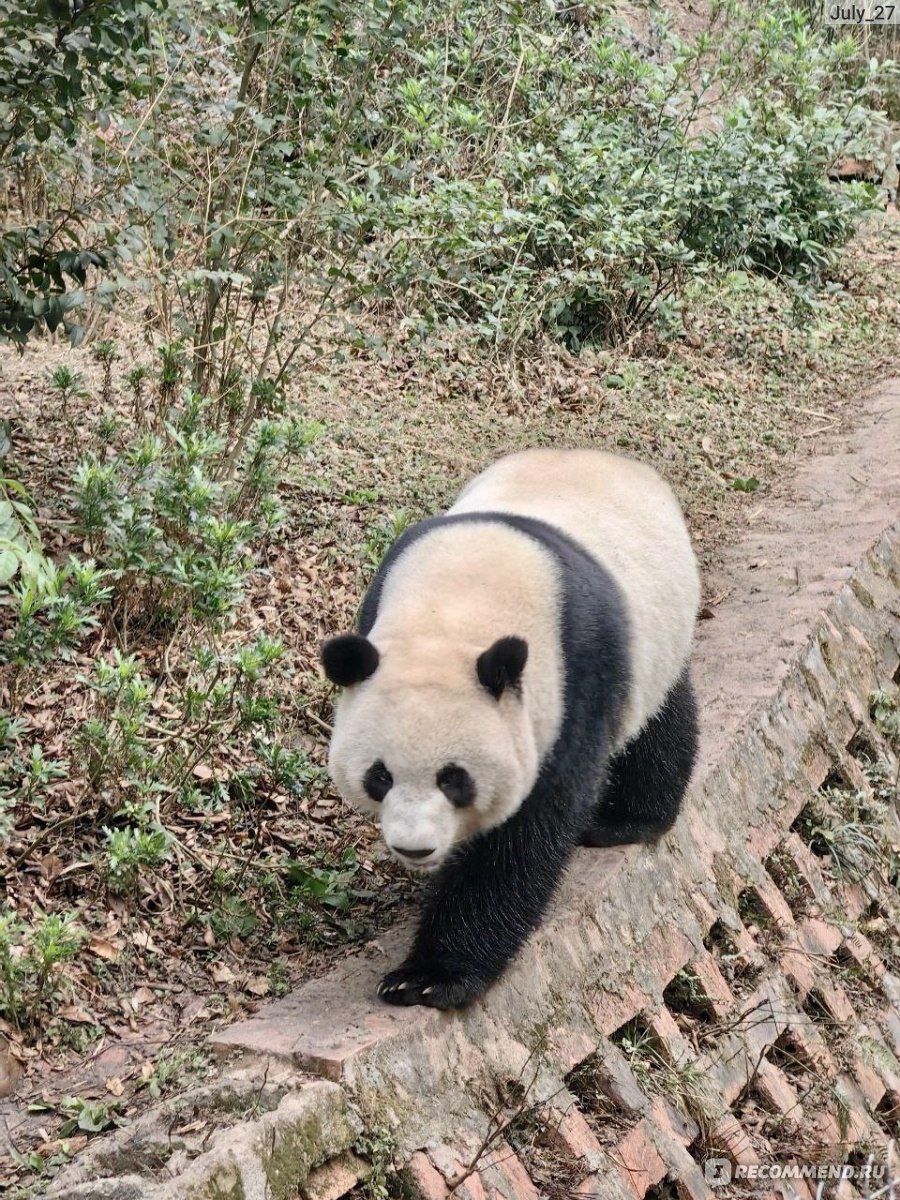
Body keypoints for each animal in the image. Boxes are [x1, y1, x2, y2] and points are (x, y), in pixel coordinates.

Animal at [321, 451, 700, 1012]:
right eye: (380, 777)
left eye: (454, 779)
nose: (414, 849)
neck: (452, 606)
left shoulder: (573, 676)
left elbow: (523, 835)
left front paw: (429, 978)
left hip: (655, 633)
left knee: (659, 723)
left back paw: (627, 820)